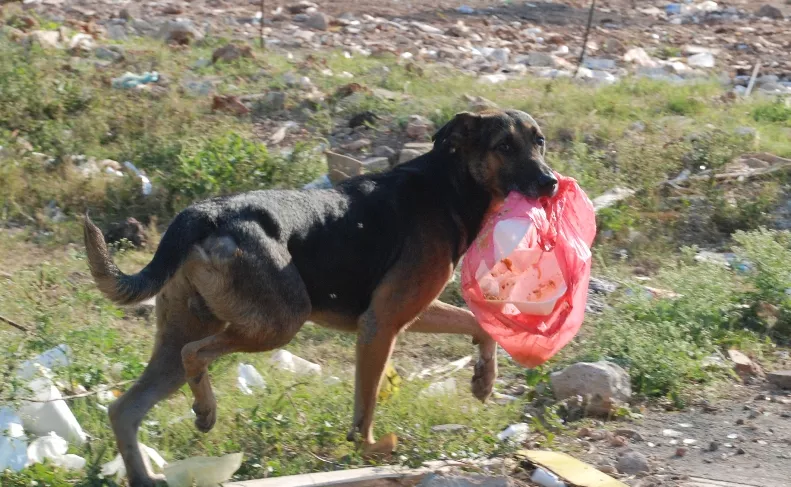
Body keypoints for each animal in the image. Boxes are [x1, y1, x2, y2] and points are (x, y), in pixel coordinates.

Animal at [83, 108, 556, 486]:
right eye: (504, 146)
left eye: (539, 142)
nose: (550, 183)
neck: (451, 183)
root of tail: (206, 212)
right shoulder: (380, 325)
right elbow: (365, 408)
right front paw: (369, 452)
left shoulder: (412, 312)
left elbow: (479, 322)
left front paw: (484, 379)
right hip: (280, 322)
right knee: (194, 354)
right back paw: (205, 409)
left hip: (185, 331)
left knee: (126, 408)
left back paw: (146, 472)